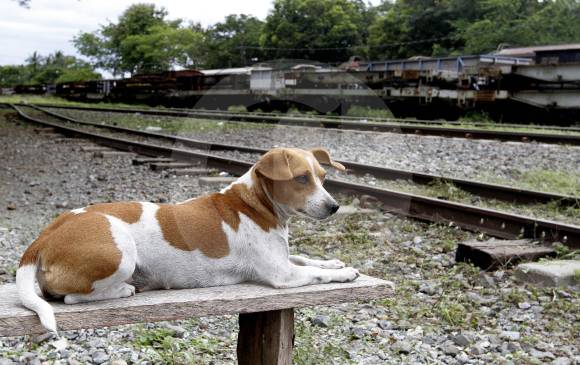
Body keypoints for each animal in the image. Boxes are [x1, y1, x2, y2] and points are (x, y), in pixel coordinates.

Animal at [17, 147, 358, 332]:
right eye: (301, 178)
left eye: (323, 178)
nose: (334, 206)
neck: (254, 203)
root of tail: (45, 235)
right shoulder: (282, 274)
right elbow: (314, 273)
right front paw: (343, 273)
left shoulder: (283, 258)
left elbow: (306, 257)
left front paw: (333, 261)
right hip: (121, 252)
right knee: (71, 298)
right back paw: (124, 290)